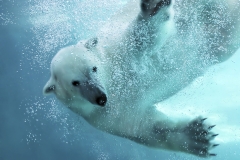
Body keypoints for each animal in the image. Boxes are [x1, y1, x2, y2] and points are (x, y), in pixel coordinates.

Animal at [43, 0, 240, 158]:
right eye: (75, 83)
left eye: (94, 68)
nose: (100, 98)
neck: (112, 80)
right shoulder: (107, 117)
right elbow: (147, 128)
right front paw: (198, 136)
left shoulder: (119, 51)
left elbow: (143, 37)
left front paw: (152, 7)